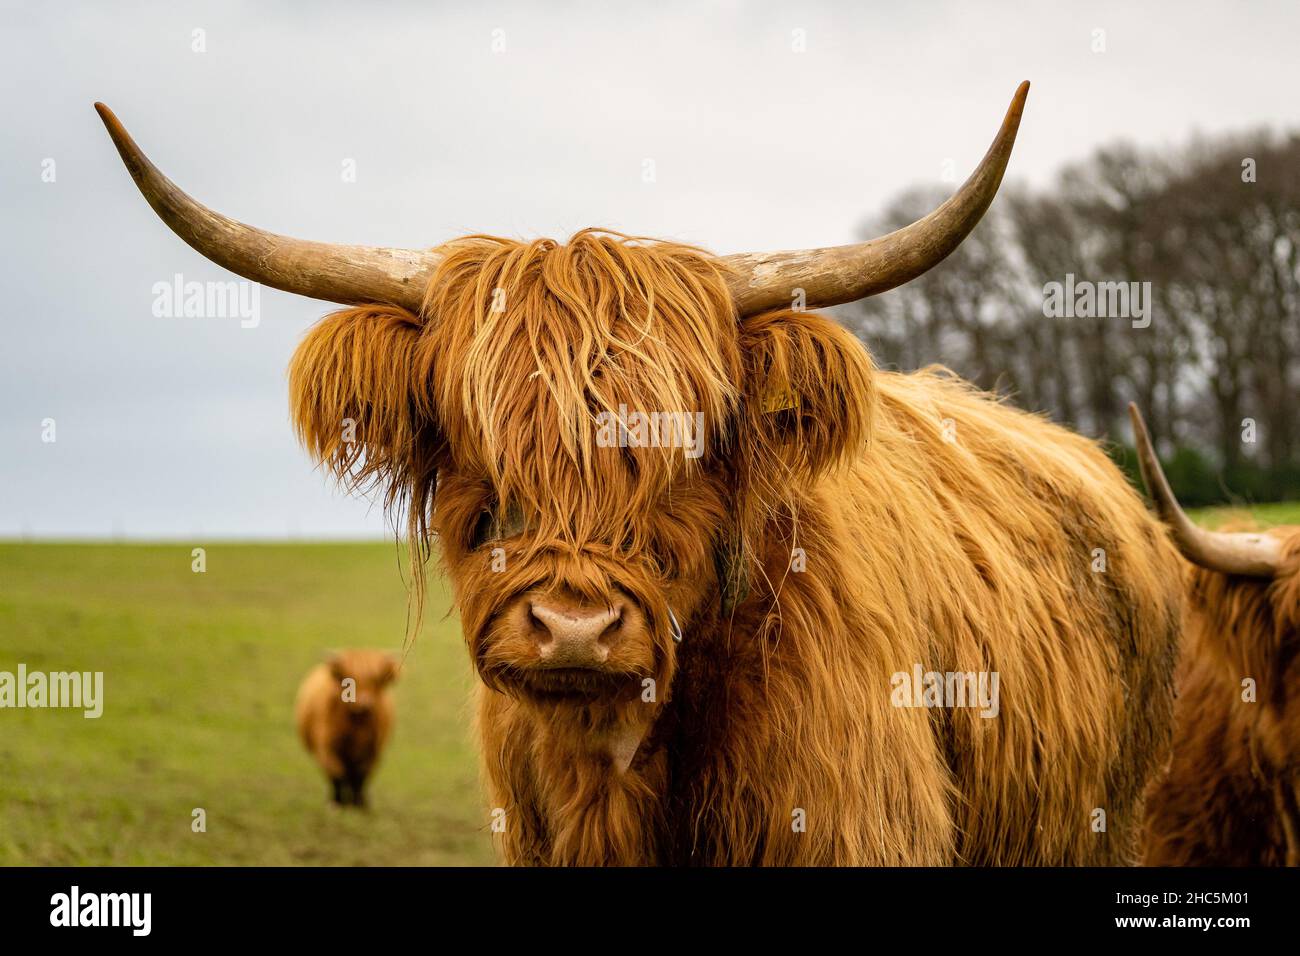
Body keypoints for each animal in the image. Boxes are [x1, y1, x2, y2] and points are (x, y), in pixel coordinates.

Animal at [295, 650, 398, 808]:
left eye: (376, 680)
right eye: (349, 678)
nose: (364, 703)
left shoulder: (372, 752)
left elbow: (360, 778)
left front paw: (359, 805)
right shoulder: (327, 748)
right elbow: (337, 775)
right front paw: (337, 803)